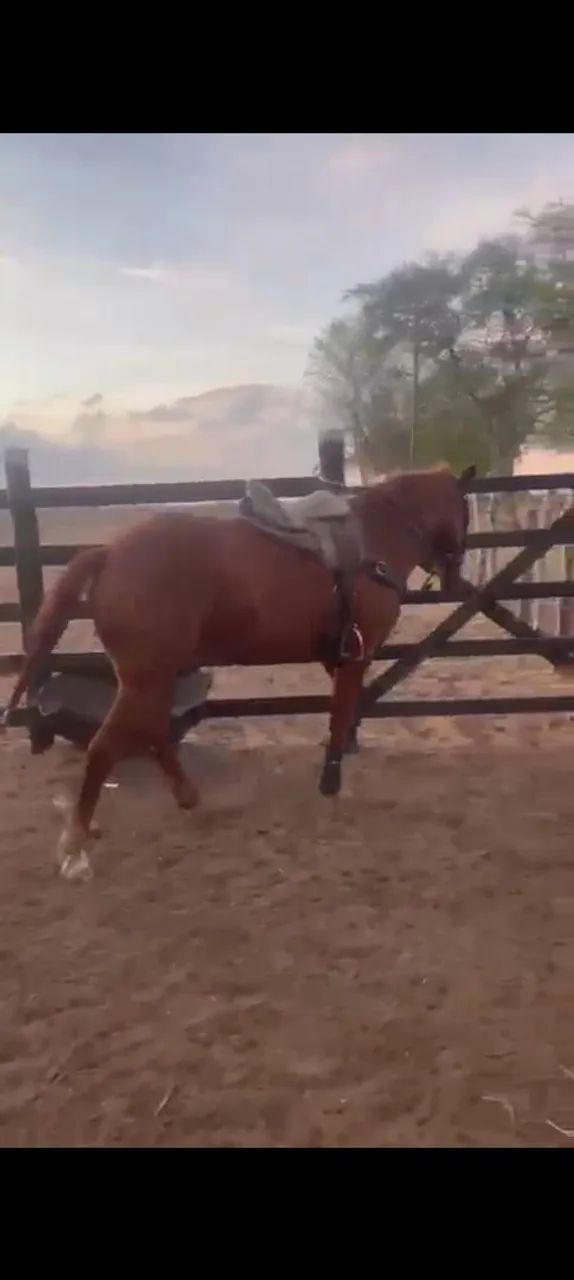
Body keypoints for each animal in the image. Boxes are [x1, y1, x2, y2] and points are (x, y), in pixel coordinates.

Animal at [3, 463, 475, 879]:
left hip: (150, 678)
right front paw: (331, 788)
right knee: (106, 747)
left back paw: (187, 798)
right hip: (145, 679)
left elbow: (342, 717)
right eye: (465, 511)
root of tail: (111, 553)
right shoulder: (356, 658)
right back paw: (75, 848)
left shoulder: (340, 659)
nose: (454, 574)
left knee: (152, 734)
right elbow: (341, 720)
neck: (373, 538)